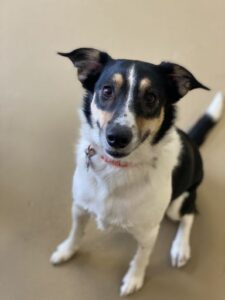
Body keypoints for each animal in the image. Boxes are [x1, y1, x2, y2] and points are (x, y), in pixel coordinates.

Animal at [49, 48, 223, 296]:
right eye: (106, 90)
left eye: (151, 97)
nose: (117, 137)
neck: (117, 168)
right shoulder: (80, 207)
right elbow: (75, 232)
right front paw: (66, 251)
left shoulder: (149, 232)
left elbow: (141, 257)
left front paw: (134, 279)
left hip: (176, 206)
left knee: (190, 213)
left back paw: (180, 248)